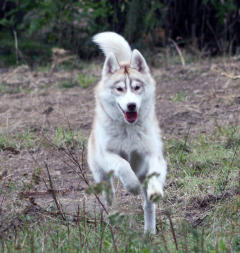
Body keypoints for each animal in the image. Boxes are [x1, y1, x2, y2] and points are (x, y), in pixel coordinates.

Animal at [87, 32, 167, 234]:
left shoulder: (152, 154)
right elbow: (123, 165)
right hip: (100, 171)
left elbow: (154, 173)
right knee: (108, 191)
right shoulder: (108, 154)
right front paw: (131, 186)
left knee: (147, 206)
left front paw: (155, 190)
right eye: (120, 89)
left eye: (136, 87)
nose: (131, 105)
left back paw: (149, 231)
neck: (129, 129)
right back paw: (112, 209)